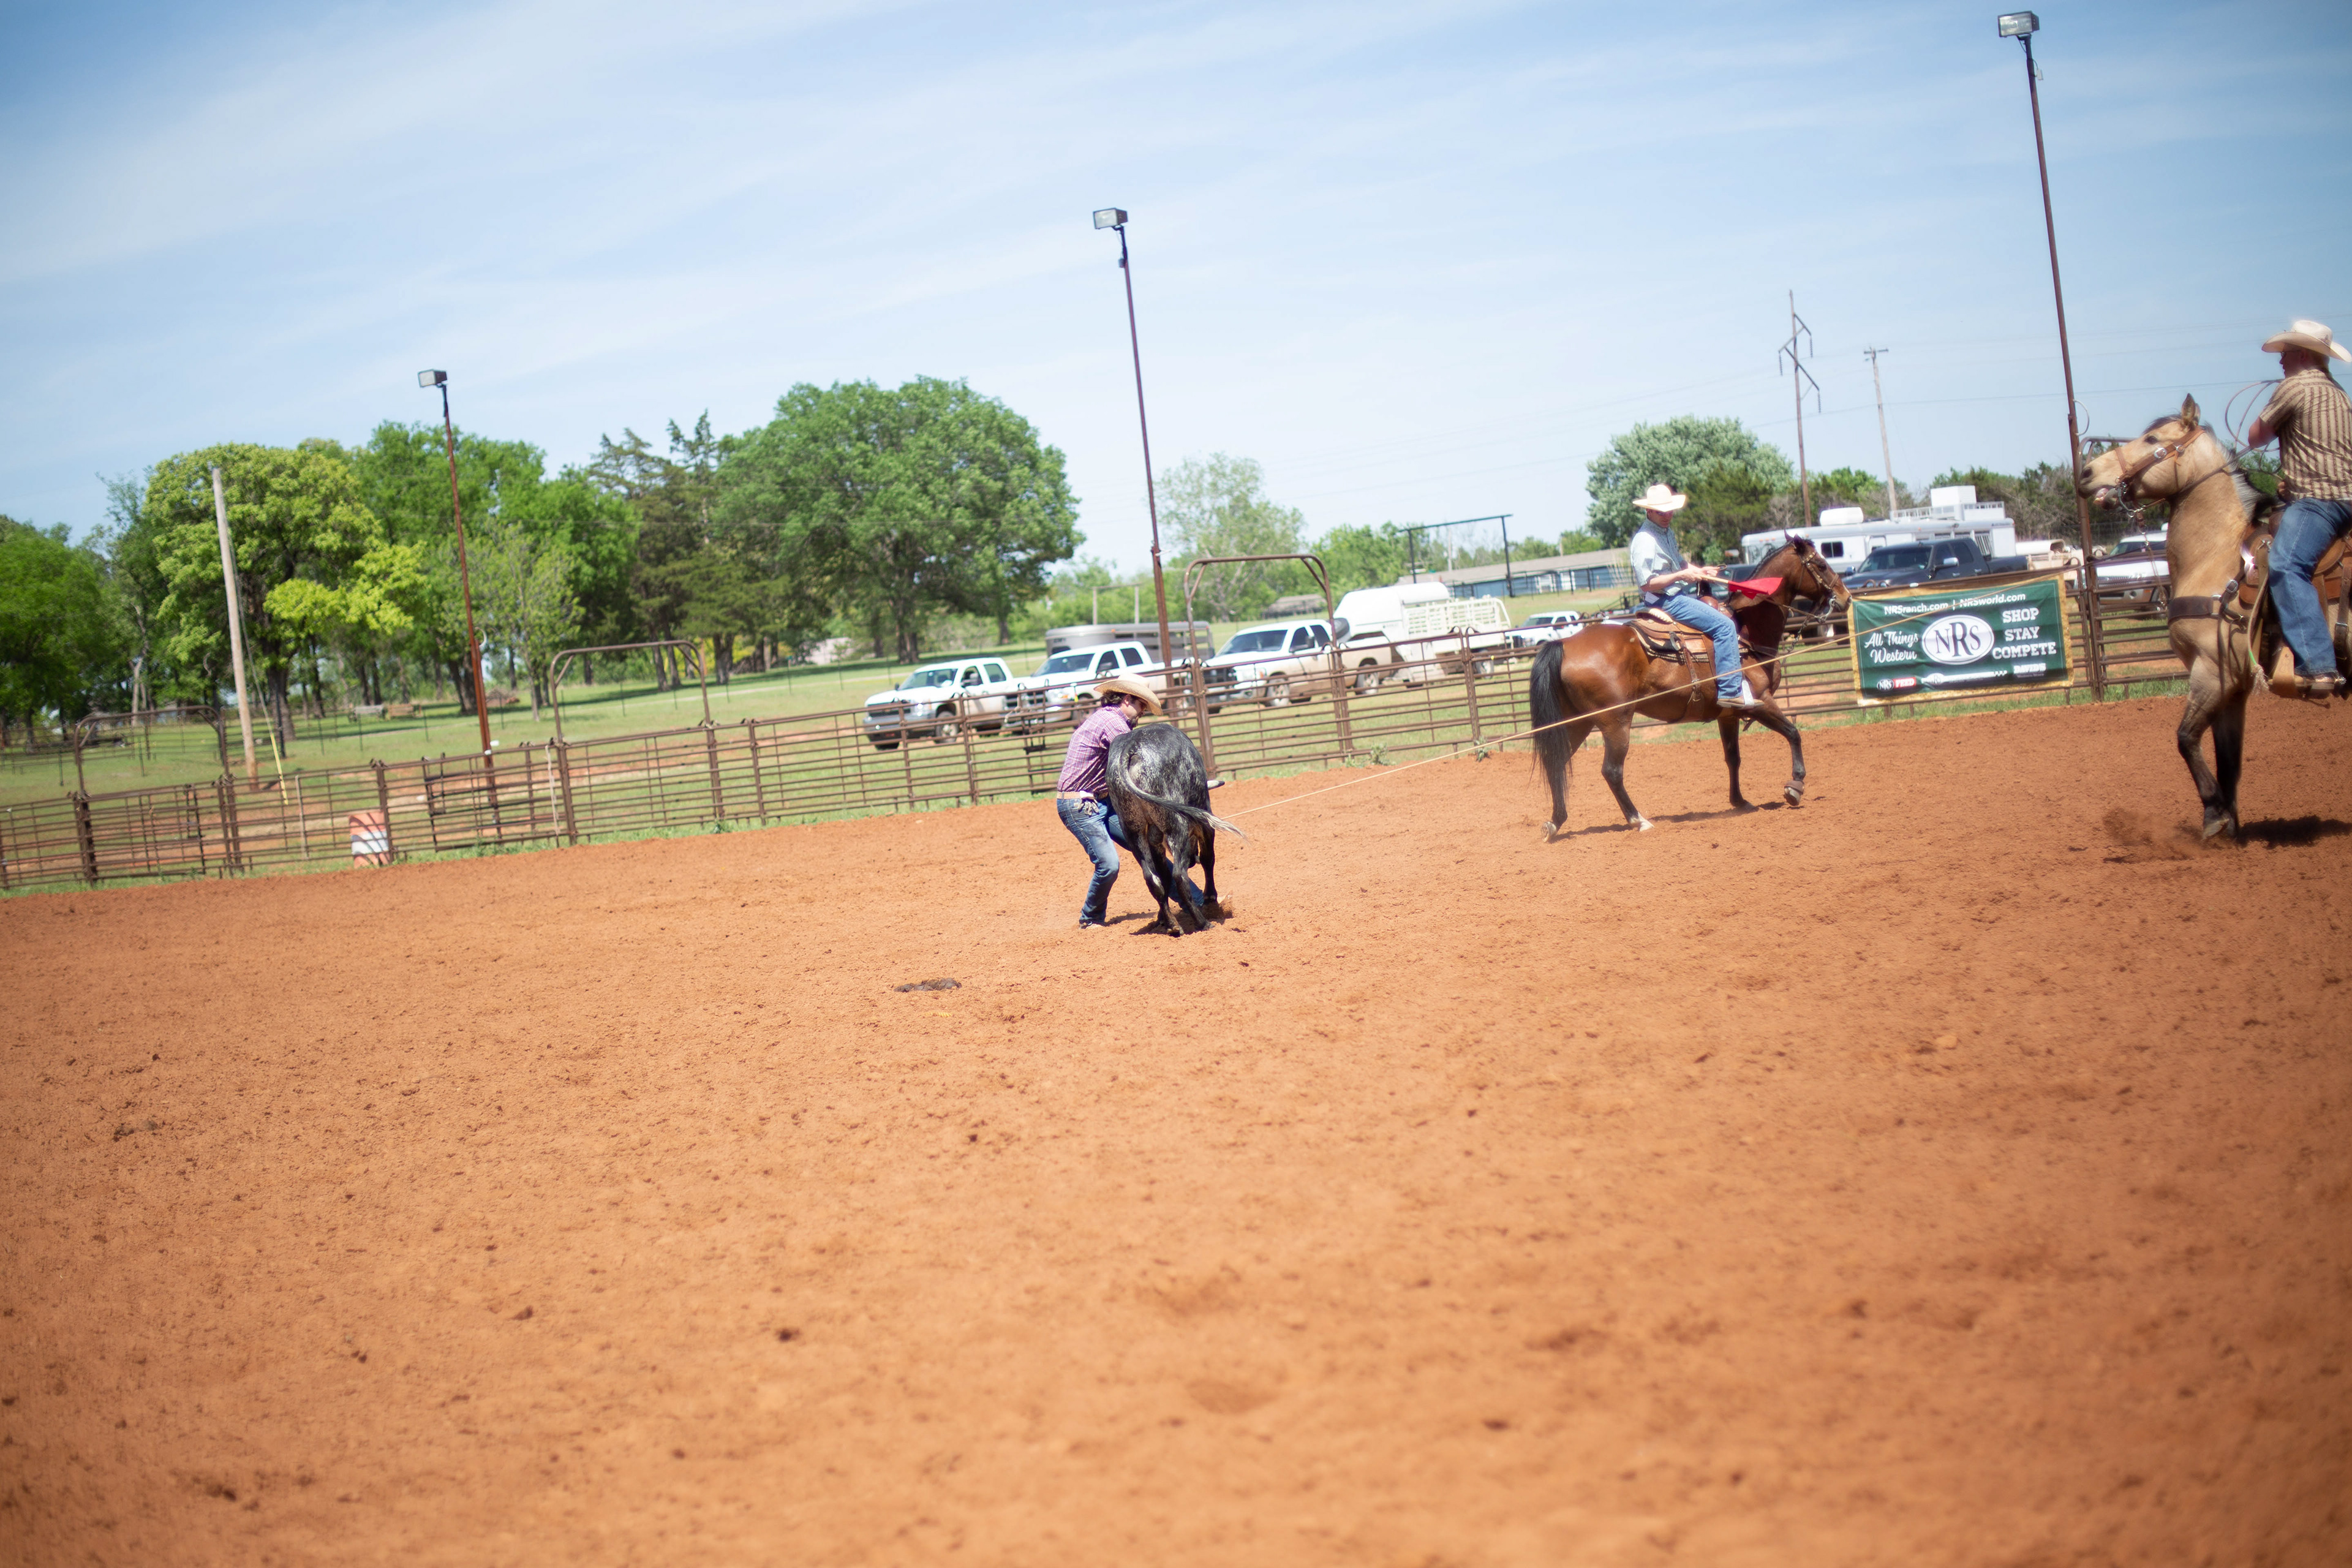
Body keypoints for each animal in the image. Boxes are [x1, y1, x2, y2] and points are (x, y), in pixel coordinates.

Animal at [1103, 721, 1244, 935]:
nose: (1192, 860)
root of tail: (1133, 747)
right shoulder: (1204, 820)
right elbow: (1208, 858)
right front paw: (1210, 897)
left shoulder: (1155, 842)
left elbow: (1164, 876)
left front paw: (1162, 917)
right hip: (1178, 827)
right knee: (1179, 874)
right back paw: (1203, 923)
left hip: (1133, 831)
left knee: (1153, 879)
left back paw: (1173, 925)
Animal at [1528, 536, 1851, 840]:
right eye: (1821, 564)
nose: (1846, 598)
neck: (1746, 633)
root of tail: (1563, 644)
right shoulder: (1762, 702)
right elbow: (1794, 733)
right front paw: (1795, 786)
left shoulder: (1728, 715)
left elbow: (1733, 757)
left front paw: (1739, 801)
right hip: (1615, 721)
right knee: (1612, 771)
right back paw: (1638, 820)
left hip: (1577, 723)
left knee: (1557, 763)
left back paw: (1555, 823)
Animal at [2077, 393, 2344, 841]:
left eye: (2152, 439)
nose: (2085, 472)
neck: (2218, 557)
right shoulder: (2233, 686)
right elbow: (2228, 758)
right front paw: (2226, 825)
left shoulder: (2211, 671)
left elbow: (2186, 738)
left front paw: (2215, 814)